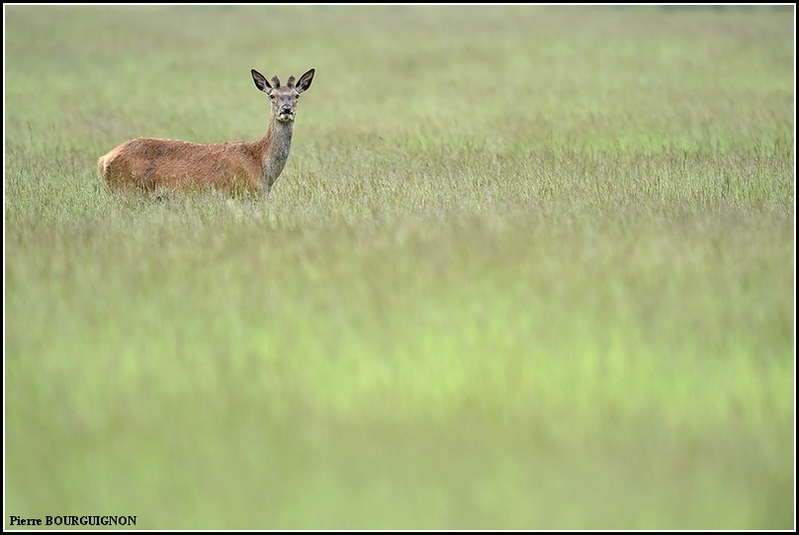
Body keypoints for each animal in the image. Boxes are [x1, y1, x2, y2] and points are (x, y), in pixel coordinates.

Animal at [97, 68, 316, 195]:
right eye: (272, 96)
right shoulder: (237, 193)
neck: (261, 167)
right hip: (126, 191)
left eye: (296, 95)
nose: (286, 109)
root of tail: (103, 159)